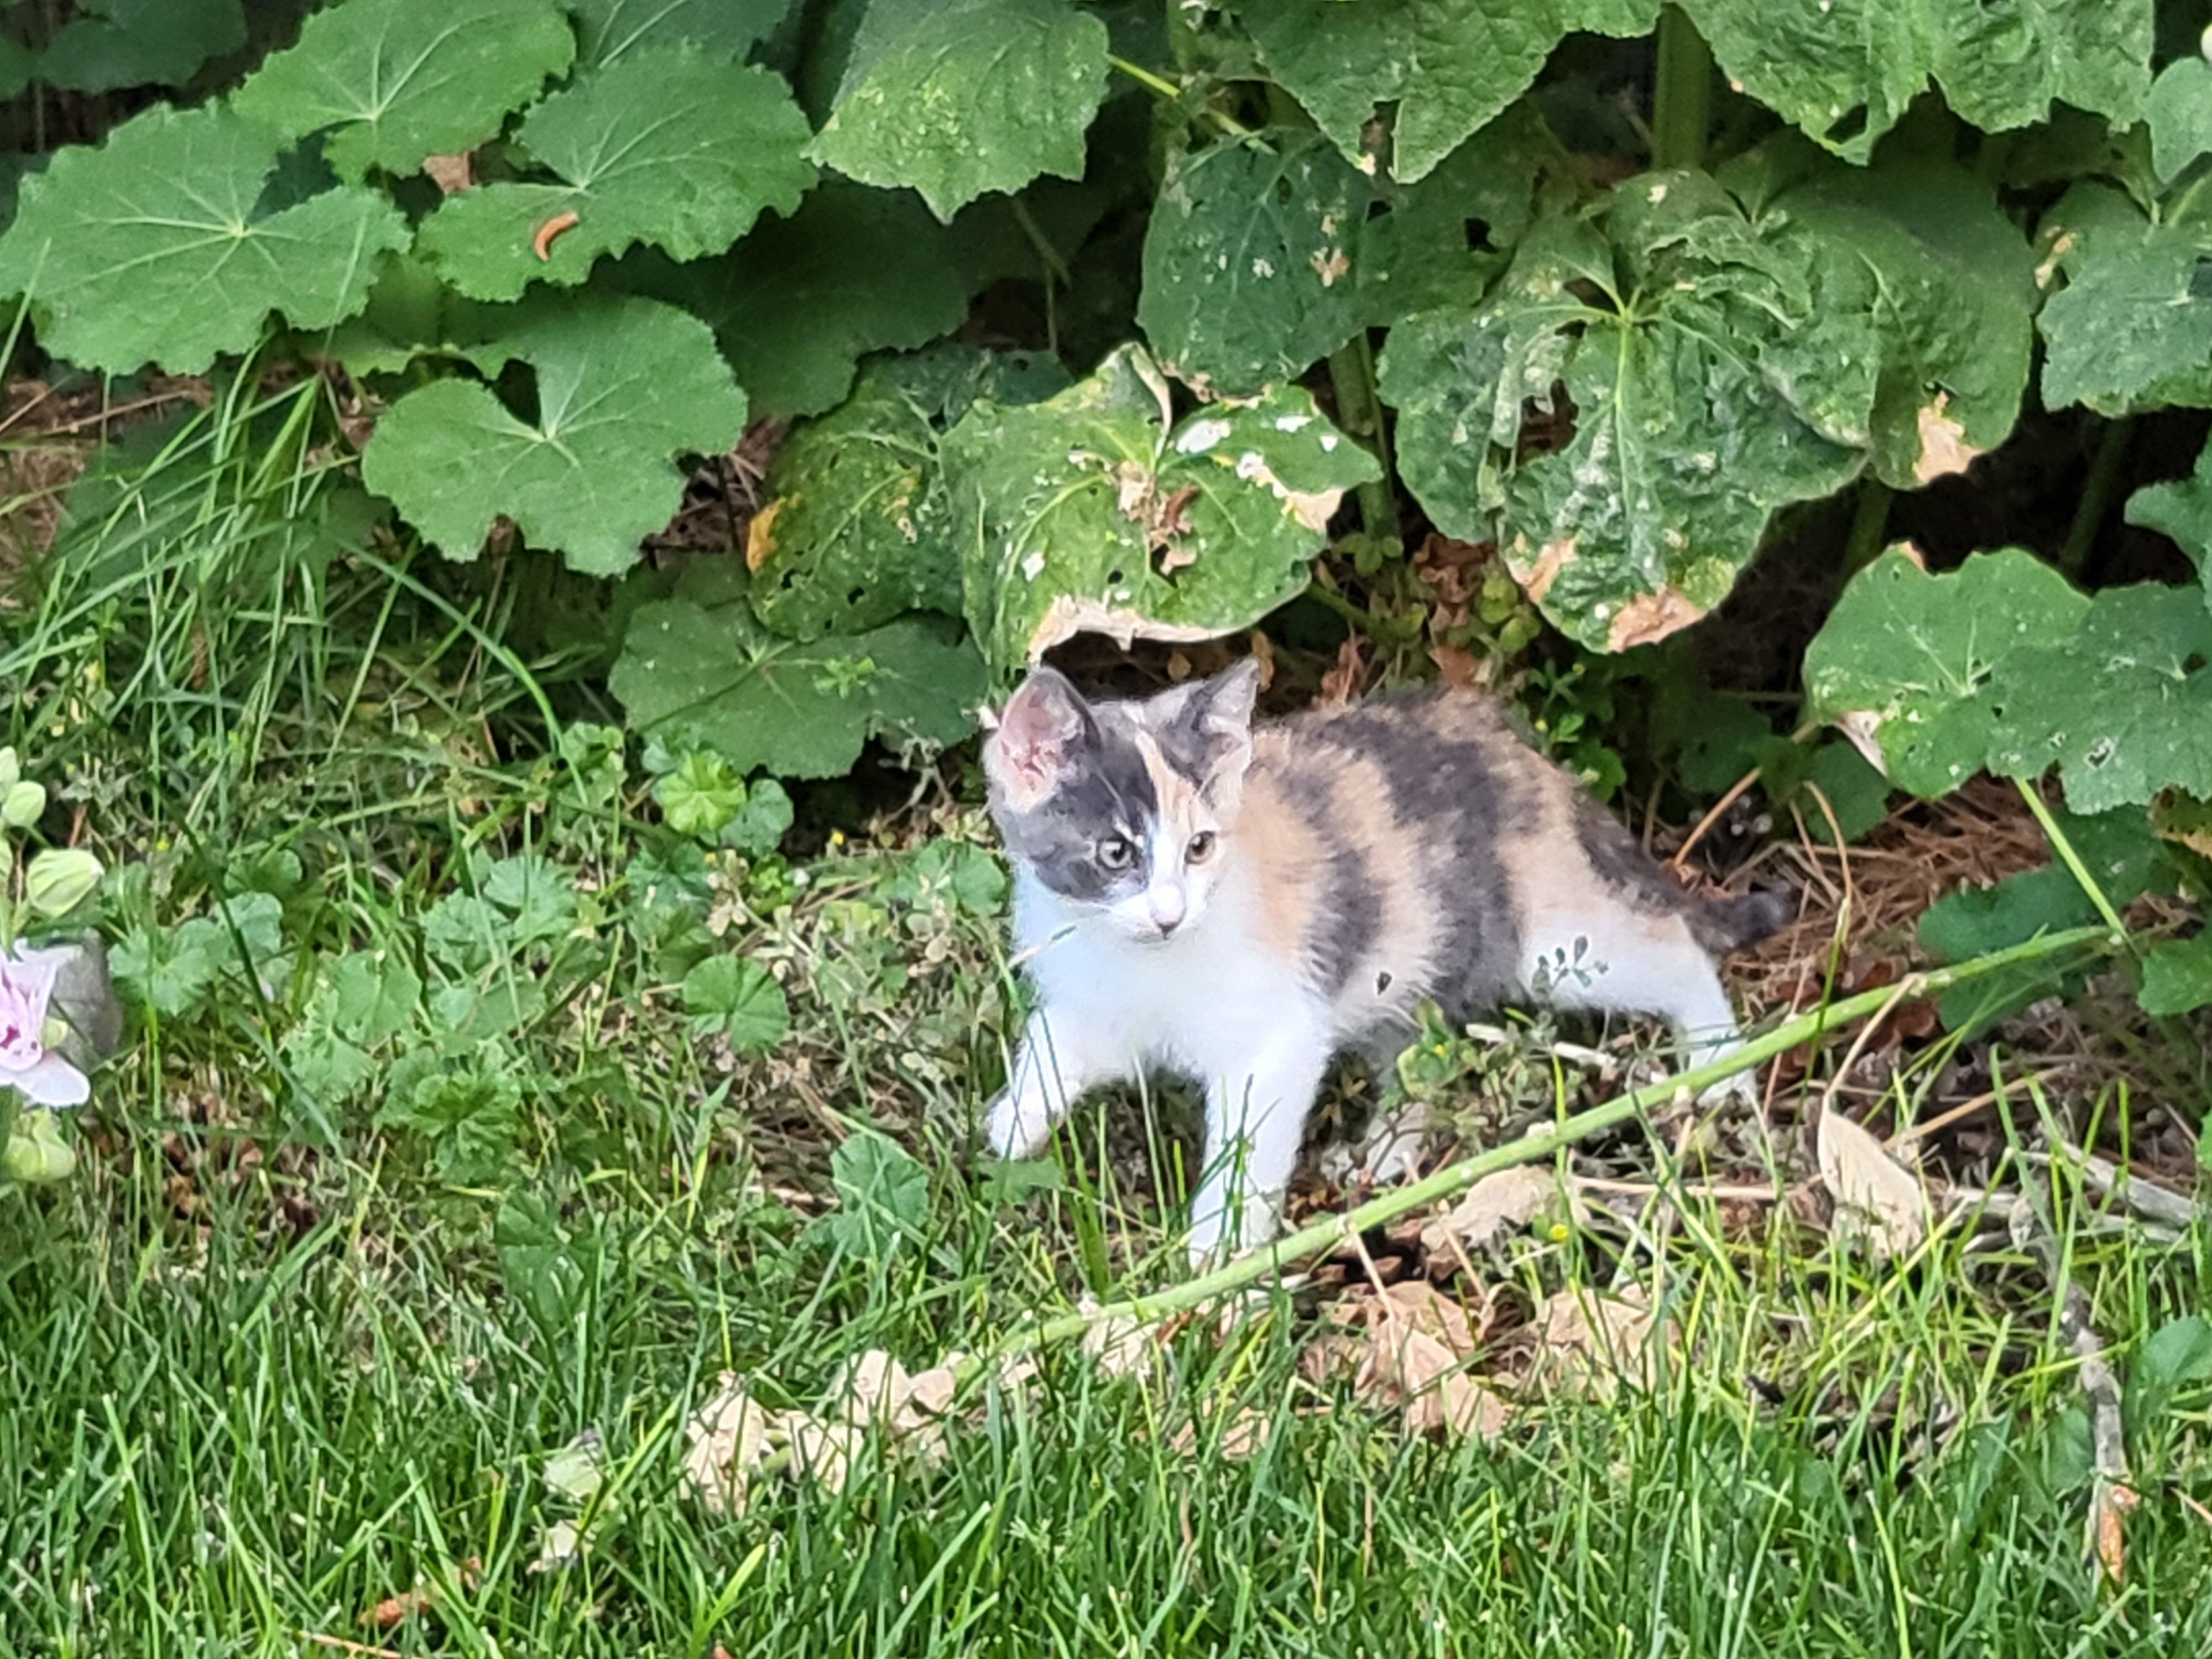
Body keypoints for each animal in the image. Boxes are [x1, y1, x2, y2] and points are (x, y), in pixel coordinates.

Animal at [978, 655, 1787, 1265]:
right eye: (1116, 853)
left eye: (1199, 847)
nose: (1171, 914)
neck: (1135, 960)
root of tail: (1509, 741)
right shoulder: (1092, 999)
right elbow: (1053, 1048)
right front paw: (1011, 1128)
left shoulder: (1278, 1038)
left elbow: (1249, 1155)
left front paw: (1222, 1262)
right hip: (1405, 954)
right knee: (1418, 1046)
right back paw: (1389, 1152)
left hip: (1551, 944)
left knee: (1672, 947)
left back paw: (1719, 1068)